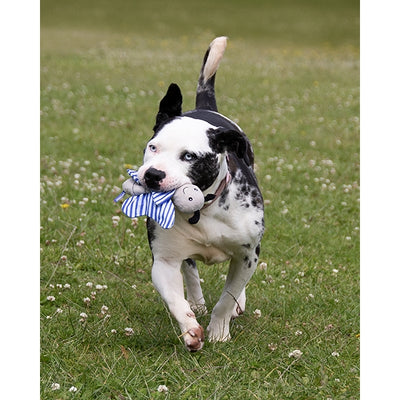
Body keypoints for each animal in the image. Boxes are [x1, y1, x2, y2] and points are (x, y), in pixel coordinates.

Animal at [136, 36, 264, 350]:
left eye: (189, 156)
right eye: (153, 146)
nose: (153, 175)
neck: (202, 210)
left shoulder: (247, 255)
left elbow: (228, 298)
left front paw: (219, 332)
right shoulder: (165, 261)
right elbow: (174, 298)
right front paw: (190, 329)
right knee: (191, 270)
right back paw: (196, 302)